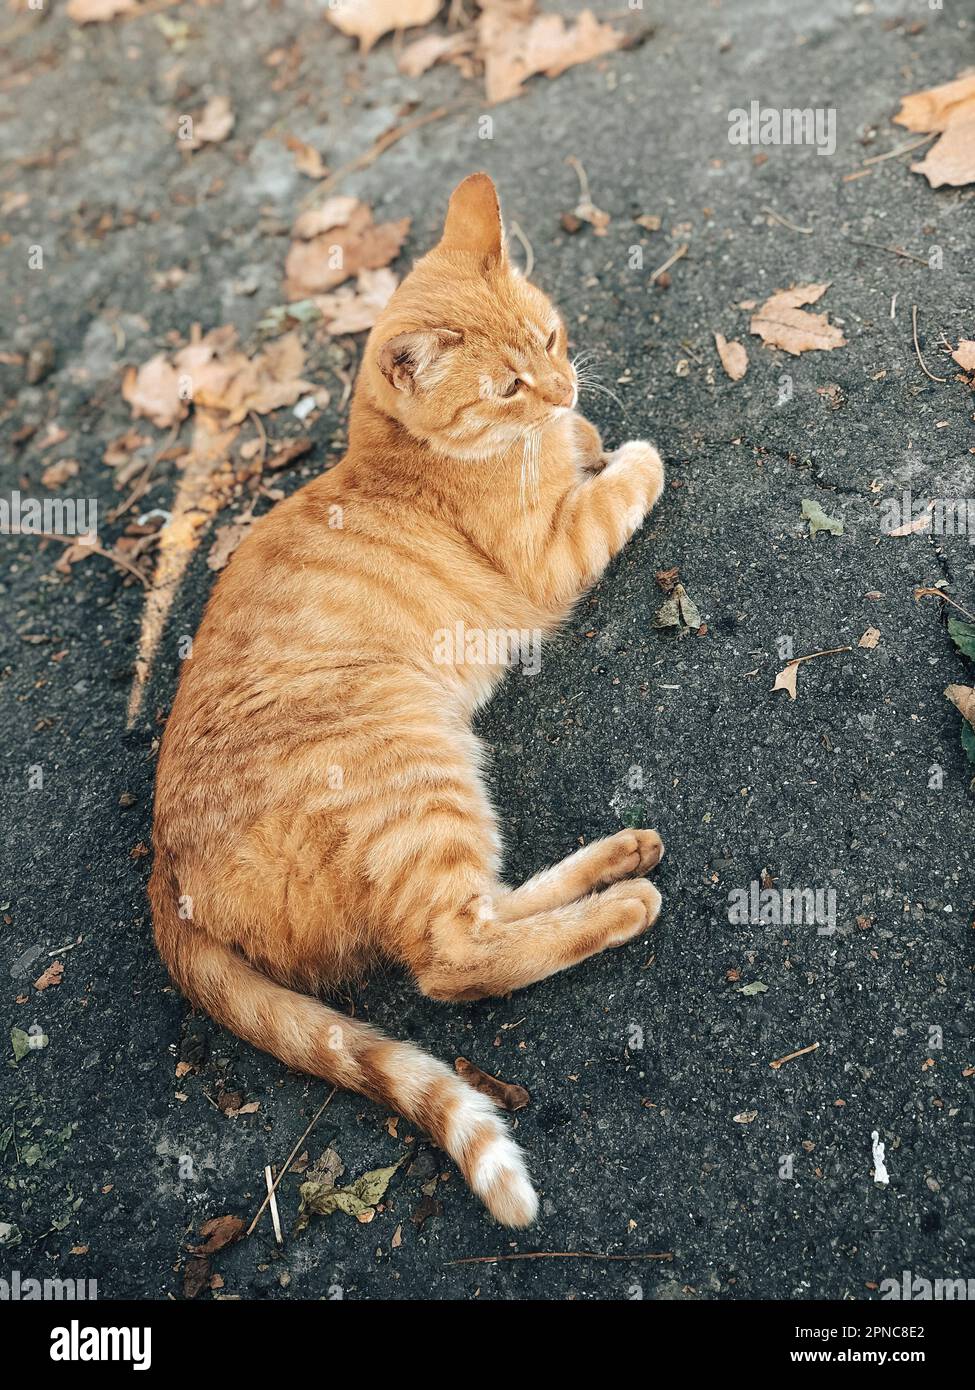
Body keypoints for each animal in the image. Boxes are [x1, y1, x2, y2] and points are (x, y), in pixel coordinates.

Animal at [152, 176, 664, 1228]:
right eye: (506, 387)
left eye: (550, 339)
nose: (564, 389)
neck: (408, 458)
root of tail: (163, 869)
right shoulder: (553, 558)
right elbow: (622, 478)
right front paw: (615, 449)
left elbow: (585, 450)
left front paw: (584, 433)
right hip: (414, 768)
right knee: (452, 958)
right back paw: (624, 902)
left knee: (484, 914)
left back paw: (619, 856)